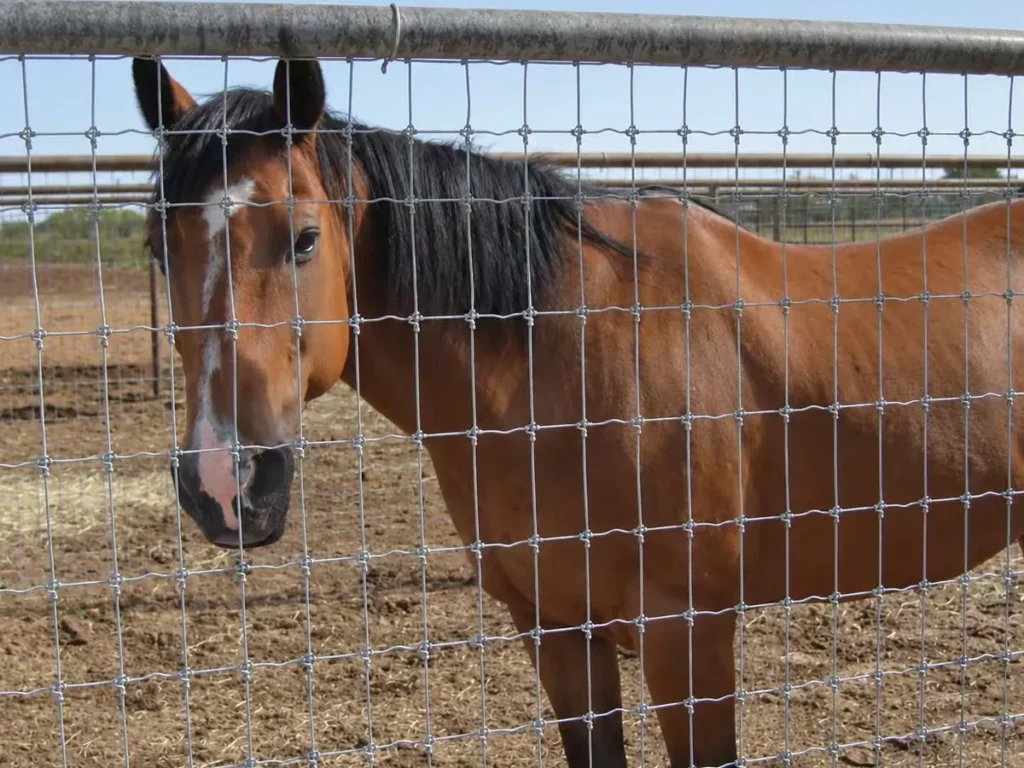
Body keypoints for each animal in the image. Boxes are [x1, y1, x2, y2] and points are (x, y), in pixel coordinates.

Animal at [131, 56, 1024, 768]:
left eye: (305, 238)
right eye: (158, 247)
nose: (226, 484)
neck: (561, 358)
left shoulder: (688, 633)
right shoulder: (555, 627)